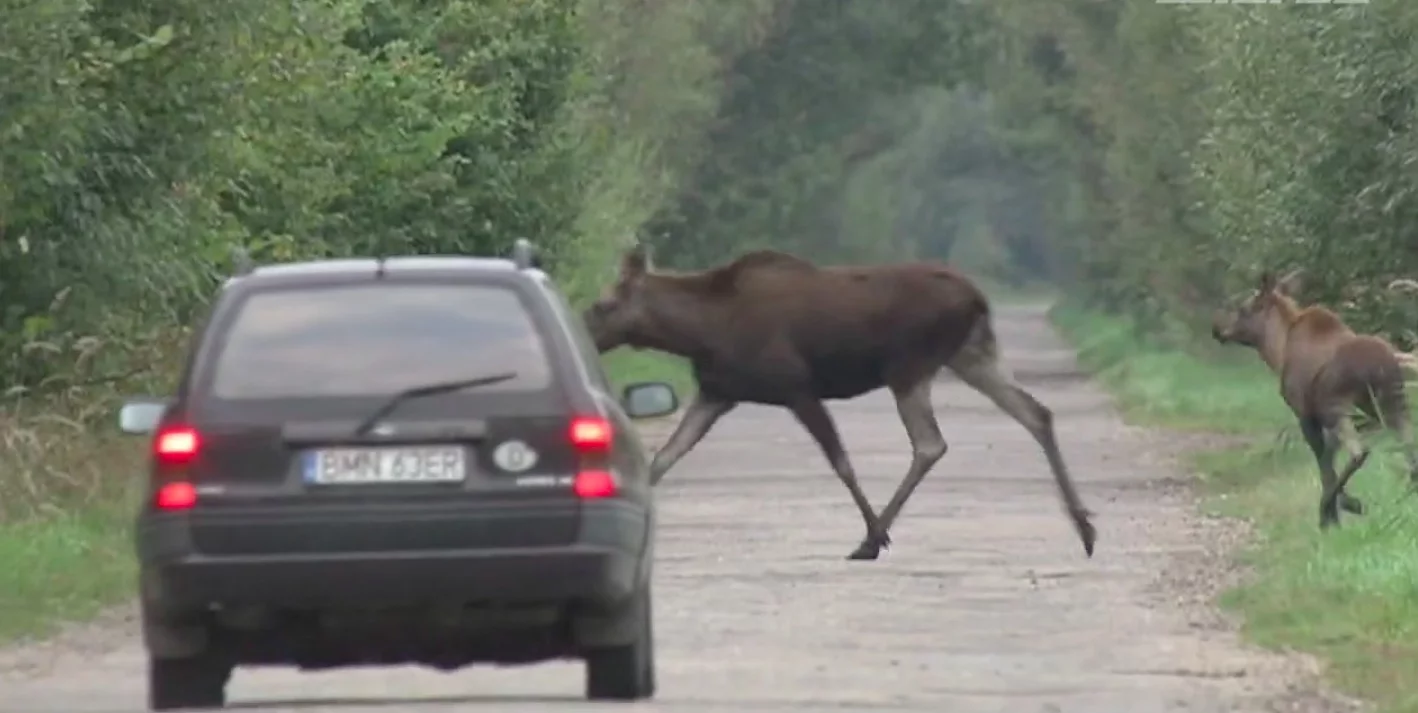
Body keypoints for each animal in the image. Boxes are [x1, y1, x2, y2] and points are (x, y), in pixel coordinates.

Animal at [575, 245, 1094, 564]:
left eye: (604, 305)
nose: (583, 330)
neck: (699, 332)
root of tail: (979, 298)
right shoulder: (718, 393)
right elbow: (664, 458)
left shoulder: (797, 388)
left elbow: (841, 461)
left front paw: (876, 535)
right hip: (972, 355)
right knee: (1036, 413)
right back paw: (1085, 527)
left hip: (909, 367)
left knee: (931, 443)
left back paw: (871, 537)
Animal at [1208, 269, 1418, 530]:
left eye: (1243, 309)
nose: (1217, 328)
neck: (1277, 350)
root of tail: (1378, 367)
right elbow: (1329, 460)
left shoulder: (1306, 414)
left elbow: (1324, 464)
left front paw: (1333, 515)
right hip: (1393, 405)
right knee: (1409, 449)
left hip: (1340, 408)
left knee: (1359, 451)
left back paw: (1338, 505)